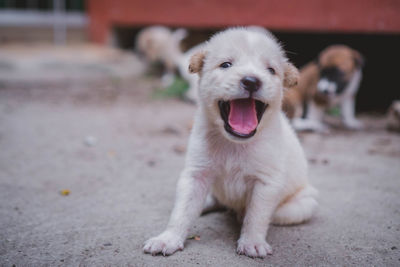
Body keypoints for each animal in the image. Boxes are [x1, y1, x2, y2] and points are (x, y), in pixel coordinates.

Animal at [144, 27, 318, 260]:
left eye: (271, 70)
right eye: (226, 65)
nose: (252, 81)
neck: (234, 144)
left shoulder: (266, 183)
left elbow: (256, 216)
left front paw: (252, 242)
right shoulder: (196, 174)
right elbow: (181, 211)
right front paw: (168, 238)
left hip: (304, 204)